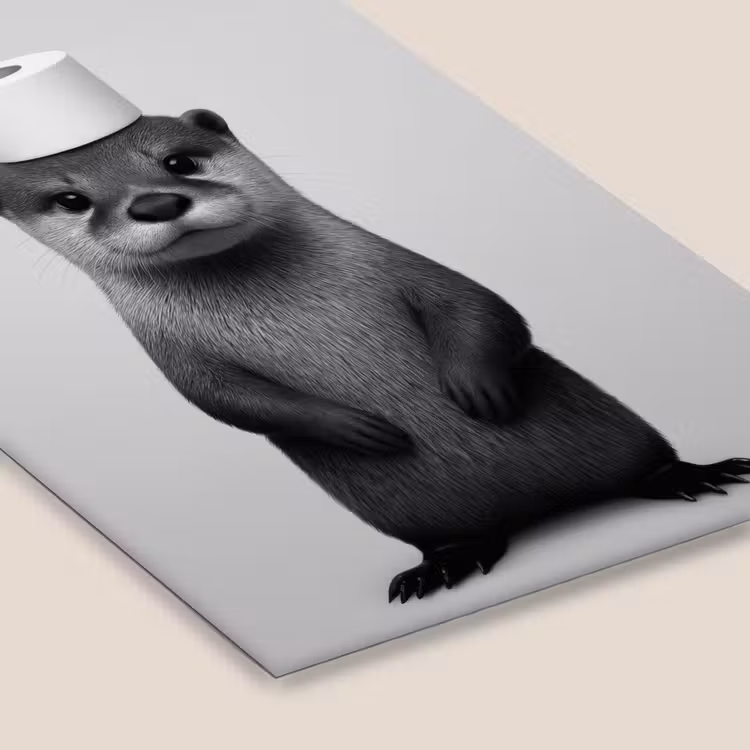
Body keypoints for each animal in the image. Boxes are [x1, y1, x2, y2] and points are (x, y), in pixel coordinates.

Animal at [1, 110, 747, 603]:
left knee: (643, 464)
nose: (156, 203)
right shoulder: (177, 361)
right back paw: (438, 568)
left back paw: (692, 476)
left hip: (619, 433)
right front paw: (359, 428)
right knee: (466, 536)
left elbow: (484, 306)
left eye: (178, 160)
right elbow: (229, 403)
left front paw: (476, 390)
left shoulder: (398, 263)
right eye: (72, 198)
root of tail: (547, 511)